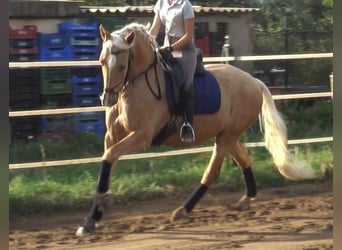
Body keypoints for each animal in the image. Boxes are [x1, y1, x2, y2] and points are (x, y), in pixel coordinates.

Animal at [76, 22, 316, 235]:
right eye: (102, 61)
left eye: (122, 65)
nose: (108, 99)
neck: (137, 84)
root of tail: (254, 81)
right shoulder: (112, 136)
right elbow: (108, 162)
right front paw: (93, 217)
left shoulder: (142, 136)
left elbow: (109, 157)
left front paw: (101, 205)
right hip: (227, 134)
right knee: (244, 159)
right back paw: (246, 199)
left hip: (227, 137)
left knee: (212, 172)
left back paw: (183, 210)